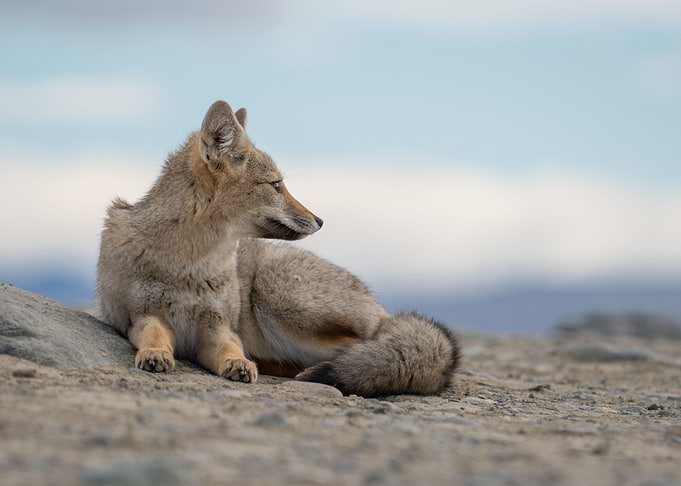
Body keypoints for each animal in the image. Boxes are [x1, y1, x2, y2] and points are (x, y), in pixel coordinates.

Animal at [96, 100, 460, 397]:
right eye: (276, 185)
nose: (320, 220)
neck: (192, 262)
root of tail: (379, 307)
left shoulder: (219, 328)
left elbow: (231, 350)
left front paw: (238, 364)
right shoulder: (142, 316)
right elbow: (153, 336)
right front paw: (155, 354)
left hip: (277, 299)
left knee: (365, 350)